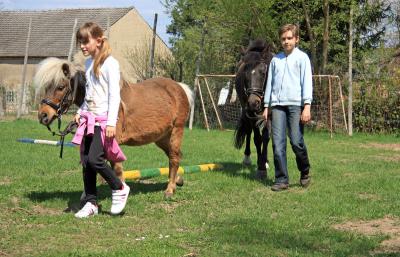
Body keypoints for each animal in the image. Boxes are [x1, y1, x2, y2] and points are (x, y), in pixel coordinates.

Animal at [33, 57, 193, 196]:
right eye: (46, 87)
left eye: (60, 87)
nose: (43, 116)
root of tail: (180, 88)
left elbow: (117, 169)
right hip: (161, 138)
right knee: (174, 156)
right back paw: (178, 180)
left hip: (176, 131)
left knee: (174, 158)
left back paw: (170, 190)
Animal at [233, 39, 274, 178]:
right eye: (244, 73)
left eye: (263, 72)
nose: (253, 102)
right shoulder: (251, 113)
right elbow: (257, 138)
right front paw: (261, 167)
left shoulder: (270, 114)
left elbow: (266, 137)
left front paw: (264, 163)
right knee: (249, 131)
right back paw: (247, 158)